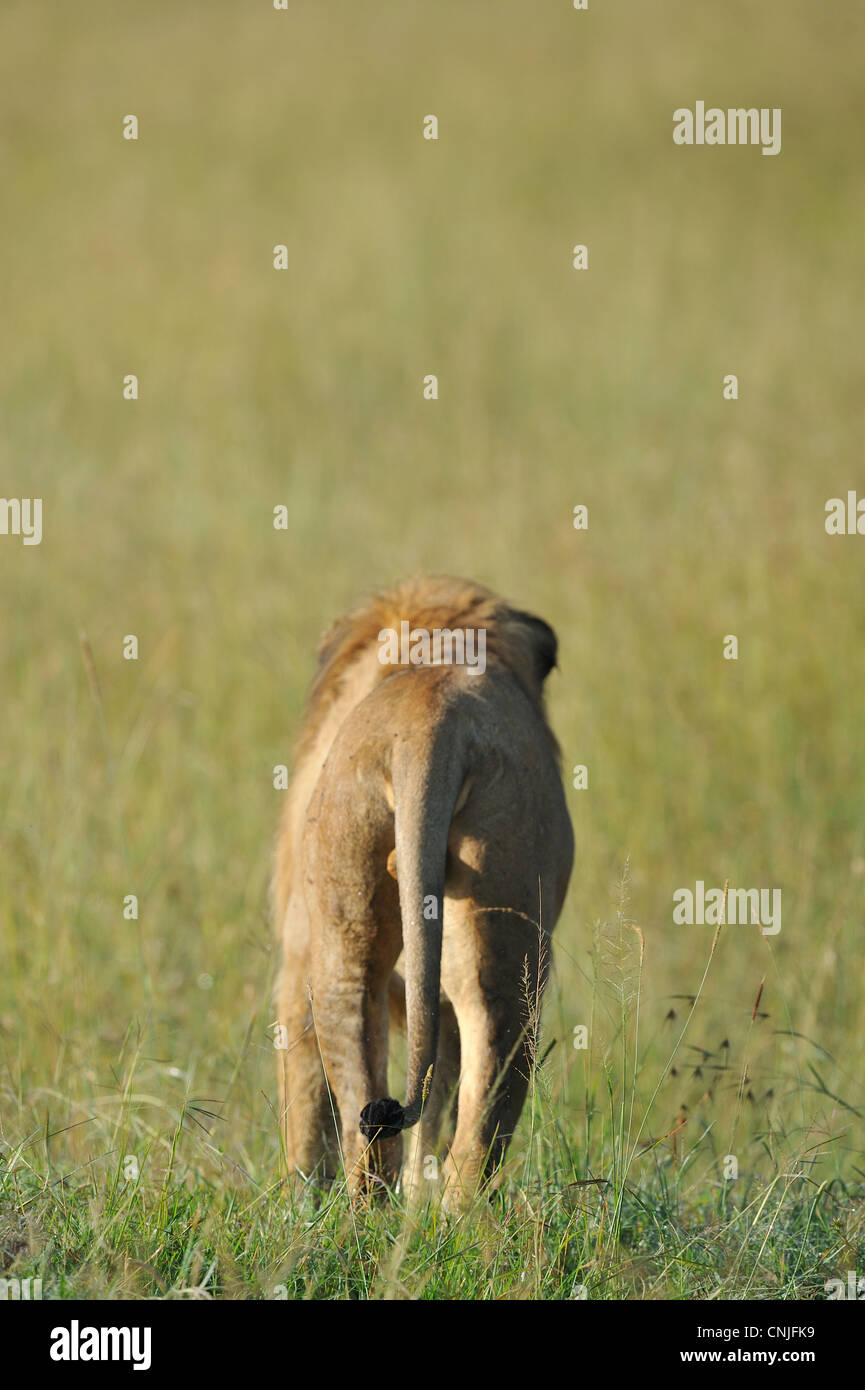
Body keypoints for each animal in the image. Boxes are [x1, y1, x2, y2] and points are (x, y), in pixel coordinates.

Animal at [272, 576, 574, 1205]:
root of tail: (432, 718)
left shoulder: (293, 955)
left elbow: (304, 1096)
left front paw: (297, 1195)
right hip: (493, 948)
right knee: (450, 1112)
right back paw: (436, 1216)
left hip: (337, 944)